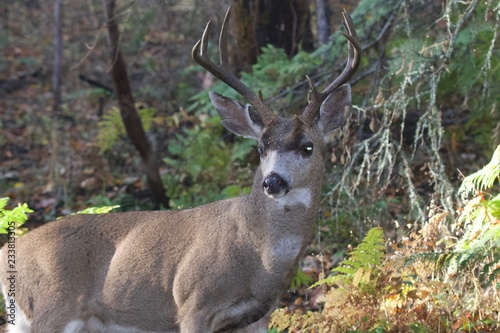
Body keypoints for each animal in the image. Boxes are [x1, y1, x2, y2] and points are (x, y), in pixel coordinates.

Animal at [0, 7, 360, 332]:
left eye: (307, 147)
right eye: (260, 148)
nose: (273, 181)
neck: (259, 259)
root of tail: (7, 252)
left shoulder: (257, 317)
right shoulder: (192, 302)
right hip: (52, 309)